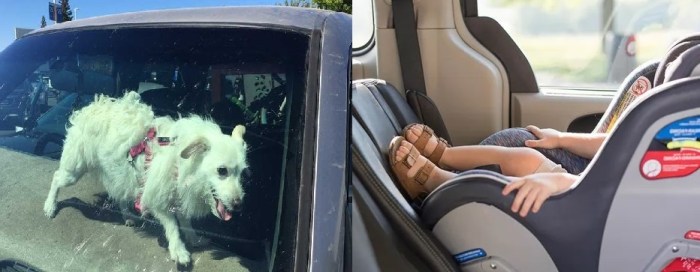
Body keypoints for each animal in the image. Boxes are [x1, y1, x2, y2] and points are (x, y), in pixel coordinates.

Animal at [42, 91, 247, 264]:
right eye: (222, 170)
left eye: (242, 173)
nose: (238, 205)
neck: (181, 162)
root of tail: (92, 106)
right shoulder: (157, 197)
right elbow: (173, 225)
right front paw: (179, 250)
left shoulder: (177, 193)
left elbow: (185, 222)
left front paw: (194, 239)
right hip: (74, 170)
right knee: (56, 177)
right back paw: (50, 206)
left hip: (118, 172)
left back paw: (127, 216)